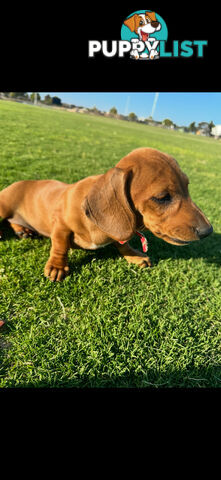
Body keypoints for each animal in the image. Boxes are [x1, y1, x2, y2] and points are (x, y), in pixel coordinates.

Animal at [0, 147, 212, 282]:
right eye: (162, 197)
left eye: (187, 186)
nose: (208, 231)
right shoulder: (60, 223)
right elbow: (59, 244)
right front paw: (57, 266)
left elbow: (123, 243)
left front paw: (134, 255)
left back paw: (22, 230)